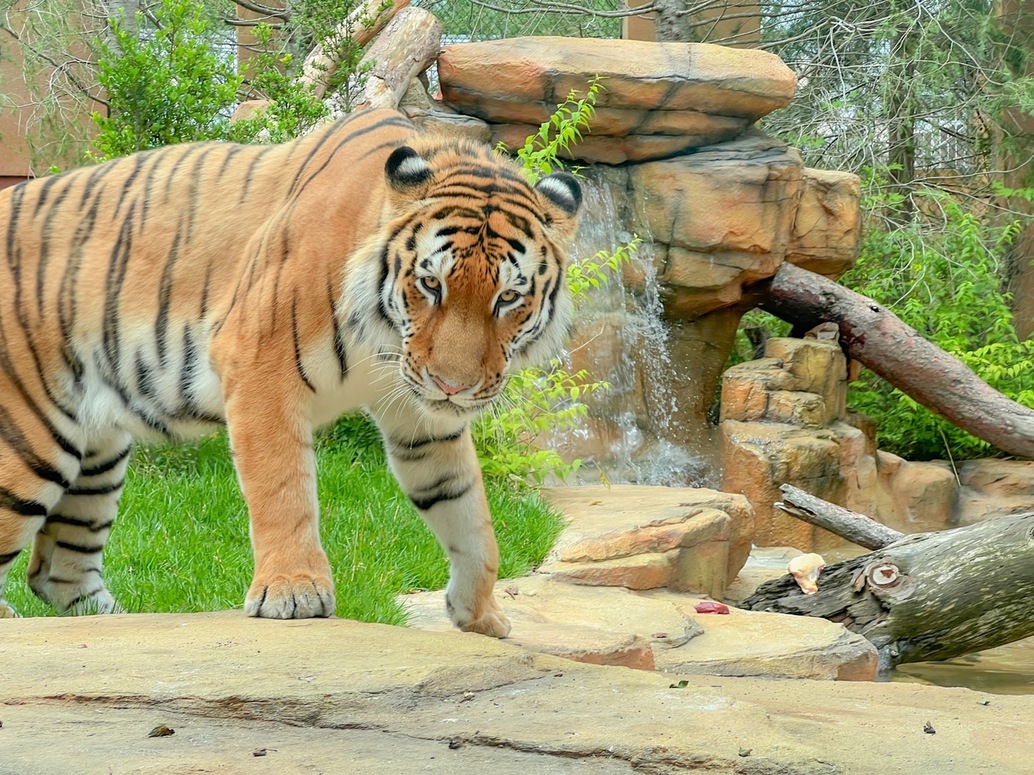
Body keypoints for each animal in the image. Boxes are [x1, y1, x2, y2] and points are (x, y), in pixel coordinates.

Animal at [0, 107, 583, 636]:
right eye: (430, 284)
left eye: (508, 298)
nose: (452, 386)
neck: (384, 341)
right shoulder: (259, 365)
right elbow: (283, 488)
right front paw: (294, 591)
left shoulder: (421, 416)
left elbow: (468, 511)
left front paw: (479, 615)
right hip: (32, 447)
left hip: (97, 458)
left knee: (58, 573)